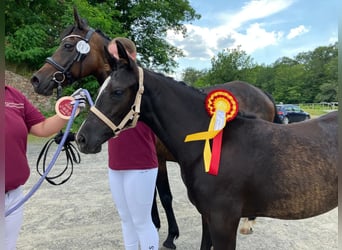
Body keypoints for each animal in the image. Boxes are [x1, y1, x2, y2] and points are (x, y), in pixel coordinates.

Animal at [29, 7, 280, 248]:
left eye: (68, 45)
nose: (37, 80)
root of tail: (262, 93)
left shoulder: (158, 159)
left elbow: (165, 196)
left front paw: (170, 236)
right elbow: (153, 197)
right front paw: (157, 225)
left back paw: (248, 223)